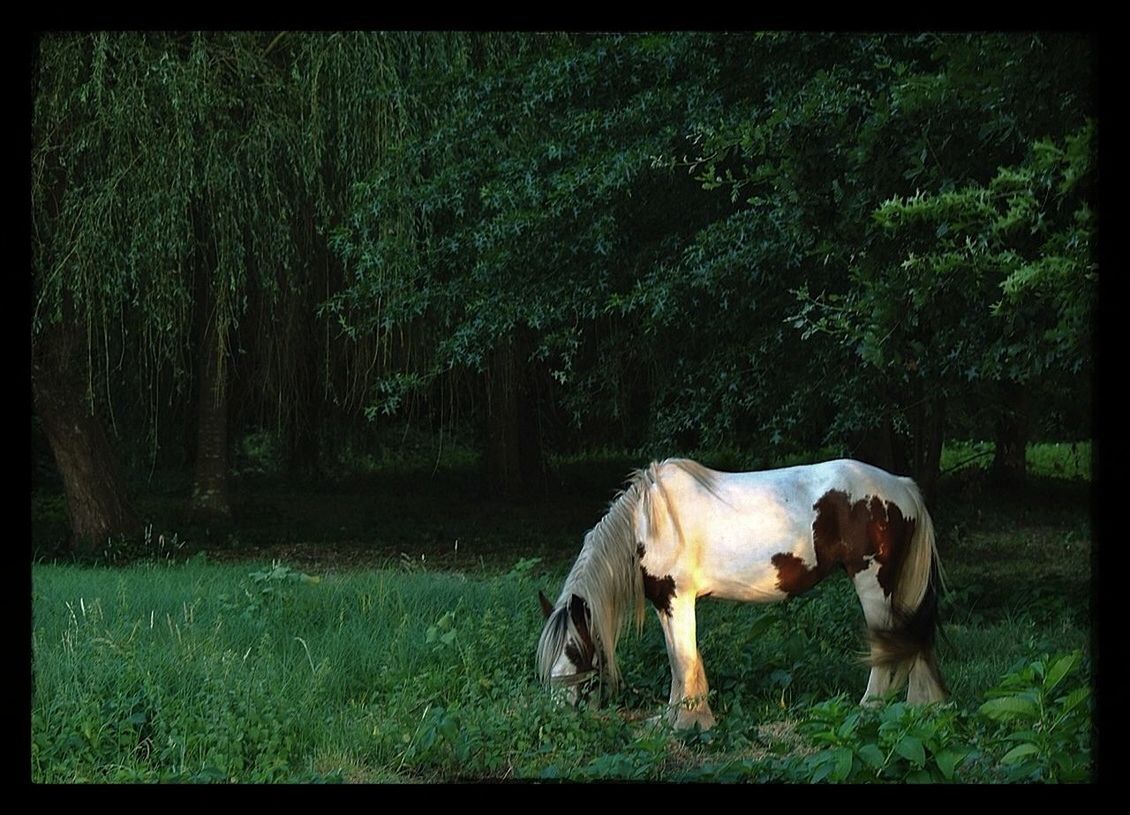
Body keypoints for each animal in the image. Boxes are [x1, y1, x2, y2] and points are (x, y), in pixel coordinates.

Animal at [535, 456, 944, 732]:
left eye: (573, 652)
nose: (558, 714)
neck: (649, 523)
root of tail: (902, 486)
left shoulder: (677, 599)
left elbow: (682, 659)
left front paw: (689, 722)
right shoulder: (665, 603)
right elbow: (679, 661)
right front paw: (674, 717)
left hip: (873, 584)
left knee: (886, 650)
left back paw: (868, 710)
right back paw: (919, 710)